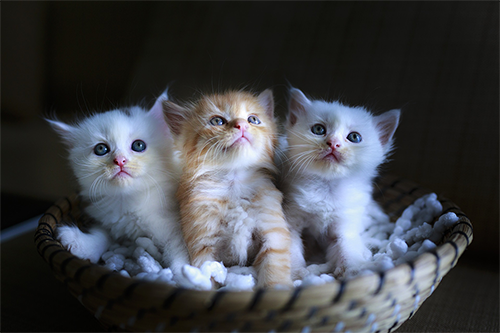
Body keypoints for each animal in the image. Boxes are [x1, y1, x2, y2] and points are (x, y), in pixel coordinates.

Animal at [47, 91, 189, 274]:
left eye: (138, 145)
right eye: (101, 149)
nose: (120, 160)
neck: (128, 201)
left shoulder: (174, 228)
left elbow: (179, 252)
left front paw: (183, 274)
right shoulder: (110, 223)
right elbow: (103, 236)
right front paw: (82, 244)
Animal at [162, 89, 292, 286]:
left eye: (253, 119)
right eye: (217, 121)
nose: (242, 125)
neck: (234, 183)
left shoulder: (273, 234)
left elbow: (274, 272)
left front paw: (274, 289)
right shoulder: (203, 244)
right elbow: (208, 275)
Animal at [280, 88, 400, 278]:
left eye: (354, 137)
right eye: (318, 129)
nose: (333, 143)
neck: (326, 187)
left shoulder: (345, 224)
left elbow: (347, 247)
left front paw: (354, 271)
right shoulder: (291, 220)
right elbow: (292, 247)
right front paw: (297, 273)